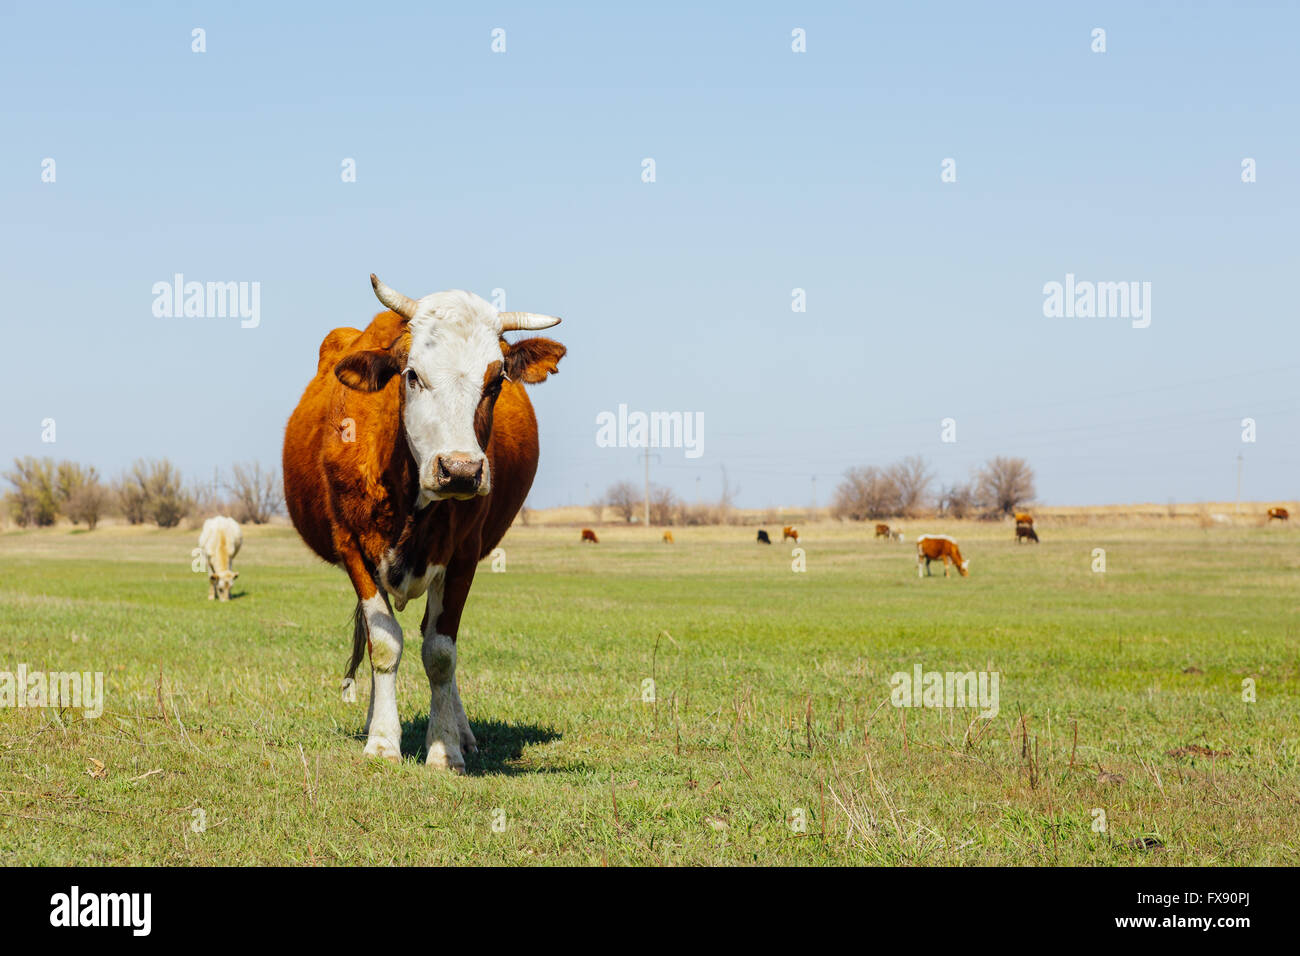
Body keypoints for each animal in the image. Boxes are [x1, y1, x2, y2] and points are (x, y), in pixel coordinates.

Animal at [282, 274, 565, 771]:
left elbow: (440, 652)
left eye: (497, 380)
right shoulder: (351, 546)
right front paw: (381, 740)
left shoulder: (464, 555)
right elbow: (384, 643)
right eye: (412, 374)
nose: (461, 469)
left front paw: (445, 747)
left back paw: (463, 731)